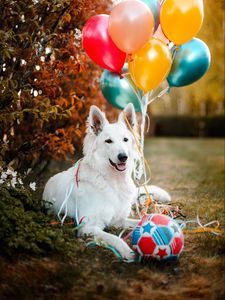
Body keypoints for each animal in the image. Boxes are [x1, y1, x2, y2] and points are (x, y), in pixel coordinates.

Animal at [42, 103, 171, 260]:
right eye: (108, 141)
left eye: (125, 139)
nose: (123, 157)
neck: (113, 182)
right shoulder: (88, 226)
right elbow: (113, 237)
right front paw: (126, 250)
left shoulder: (119, 220)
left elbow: (140, 222)